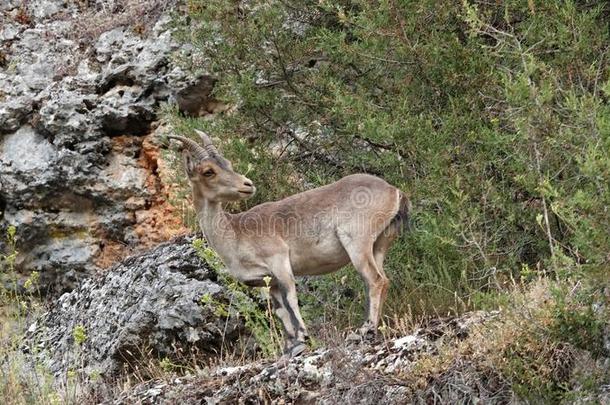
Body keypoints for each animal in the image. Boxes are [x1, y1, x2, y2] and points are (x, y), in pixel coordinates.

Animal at [166, 131, 408, 356]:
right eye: (209, 171)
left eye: (227, 163)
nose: (247, 184)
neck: (235, 233)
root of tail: (394, 191)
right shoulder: (268, 282)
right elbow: (281, 311)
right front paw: (289, 347)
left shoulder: (279, 262)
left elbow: (291, 298)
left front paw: (303, 338)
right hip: (379, 245)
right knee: (382, 280)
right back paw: (372, 328)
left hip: (357, 243)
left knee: (375, 280)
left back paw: (364, 330)